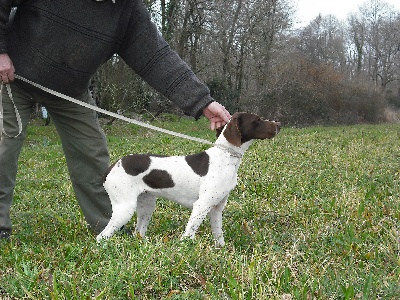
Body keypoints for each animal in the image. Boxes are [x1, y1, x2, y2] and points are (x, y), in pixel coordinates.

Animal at [96, 112, 282, 246]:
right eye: (257, 120)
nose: (279, 124)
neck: (225, 156)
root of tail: (112, 166)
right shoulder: (202, 205)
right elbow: (189, 235)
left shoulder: (216, 208)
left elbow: (219, 237)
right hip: (125, 209)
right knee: (101, 237)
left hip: (146, 206)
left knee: (138, 233)